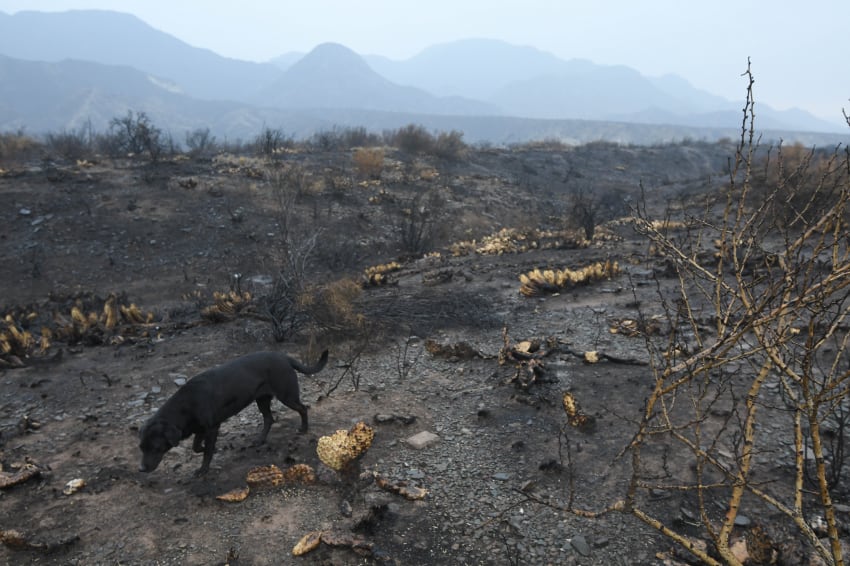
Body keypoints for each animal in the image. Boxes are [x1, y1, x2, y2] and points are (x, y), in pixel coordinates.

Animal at [137, 350, 326, 474]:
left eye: (155, 447)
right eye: (141, 448)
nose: (142, 469)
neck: (186, 405)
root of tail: (284, 357)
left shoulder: (212, 428)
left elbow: (206, 452)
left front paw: (203, 469)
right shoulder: (201, 429)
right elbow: (196, 446)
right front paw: (204, 448)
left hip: (286, 395)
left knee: (302, 408)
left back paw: (304, 429)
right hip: (262, 399)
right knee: (269, 419)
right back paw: (260, 440)